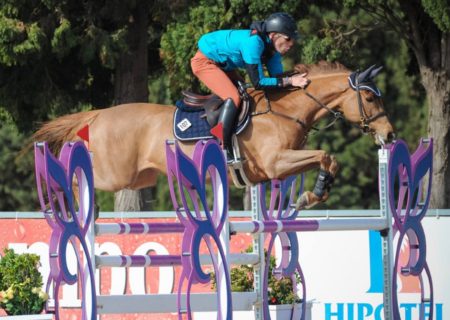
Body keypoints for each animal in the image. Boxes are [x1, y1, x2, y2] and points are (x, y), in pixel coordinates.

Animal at [33, 61, 396, 209]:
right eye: (369, 98)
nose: (390, 136)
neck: (286, 110)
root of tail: (98, 114)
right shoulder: (276, 163)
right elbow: (325, 155)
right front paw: (313, 195)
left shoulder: (277, 168)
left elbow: (328, 159)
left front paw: (314, 194)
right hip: (115, 174)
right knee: (76, 174)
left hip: (138, 177)